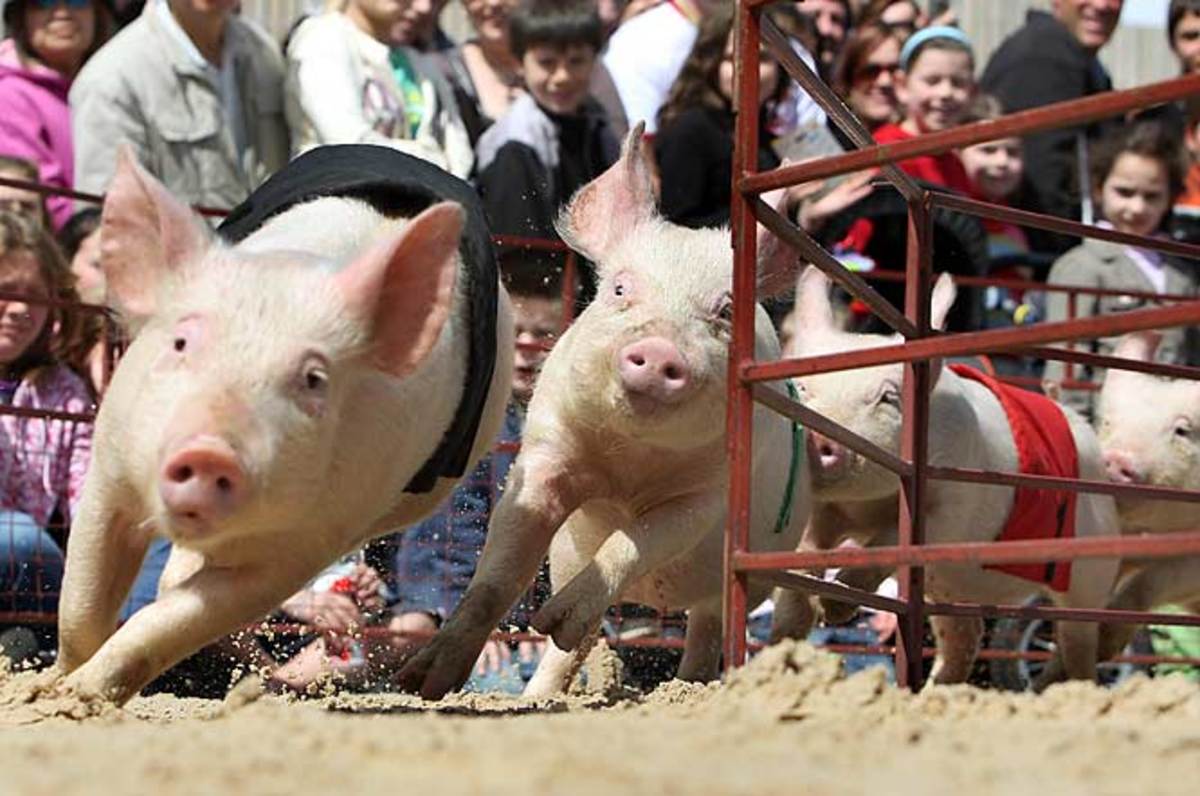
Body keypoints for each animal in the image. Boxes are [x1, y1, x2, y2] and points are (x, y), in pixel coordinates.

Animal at [52, 148, 514, 706]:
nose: (209, 452)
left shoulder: (313, 536)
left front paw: (78, 695)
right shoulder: (111, 464)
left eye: (314, 379)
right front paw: (50, 689)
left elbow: (177, 620)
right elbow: (81, 603)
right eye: (181, 342)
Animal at [397, 125, 812, 700]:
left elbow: (633, 543)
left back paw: (683, 682)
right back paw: (541, 691)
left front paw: (554, 618)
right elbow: (500, 573)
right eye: (619, 288)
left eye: (726, 311)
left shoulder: (704, 499)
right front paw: (423, 683)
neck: (627, 469)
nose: (659, 351)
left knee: (708, 625)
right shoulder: (545, 455)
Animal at [787, 267, 1122, 686]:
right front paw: (799, 611)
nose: (819, 438)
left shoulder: (950, 510)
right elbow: (806, 555)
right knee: (967, 634)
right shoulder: (825, 512)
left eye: (888, 398)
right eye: (802, 386)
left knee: (1078, 644)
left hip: (1090, 571)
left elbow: (889, 543)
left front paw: (833, 606)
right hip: (949, 586)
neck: (866, 506)